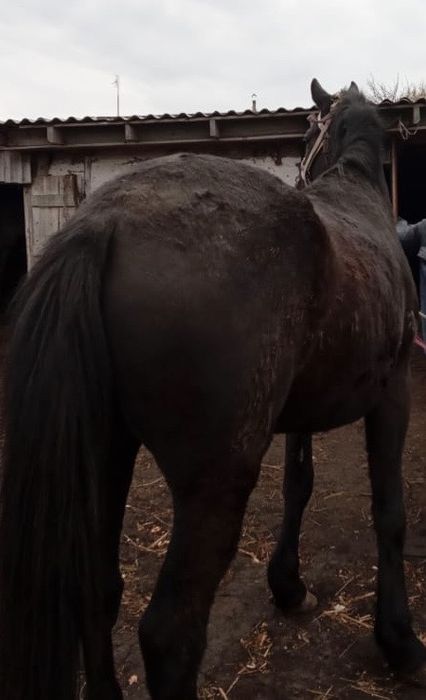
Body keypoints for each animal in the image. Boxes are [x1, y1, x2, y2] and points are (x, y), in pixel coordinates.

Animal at [0, 78, 425, 700]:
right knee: (170, 636)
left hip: (106, 455)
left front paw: (288, 585)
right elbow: (388, 511)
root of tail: (103, 223)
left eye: (304, 136)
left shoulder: (301, 414)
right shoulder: (392, 394)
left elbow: (299, 486)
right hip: (214, 485)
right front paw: (399, 640)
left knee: (98, 589)